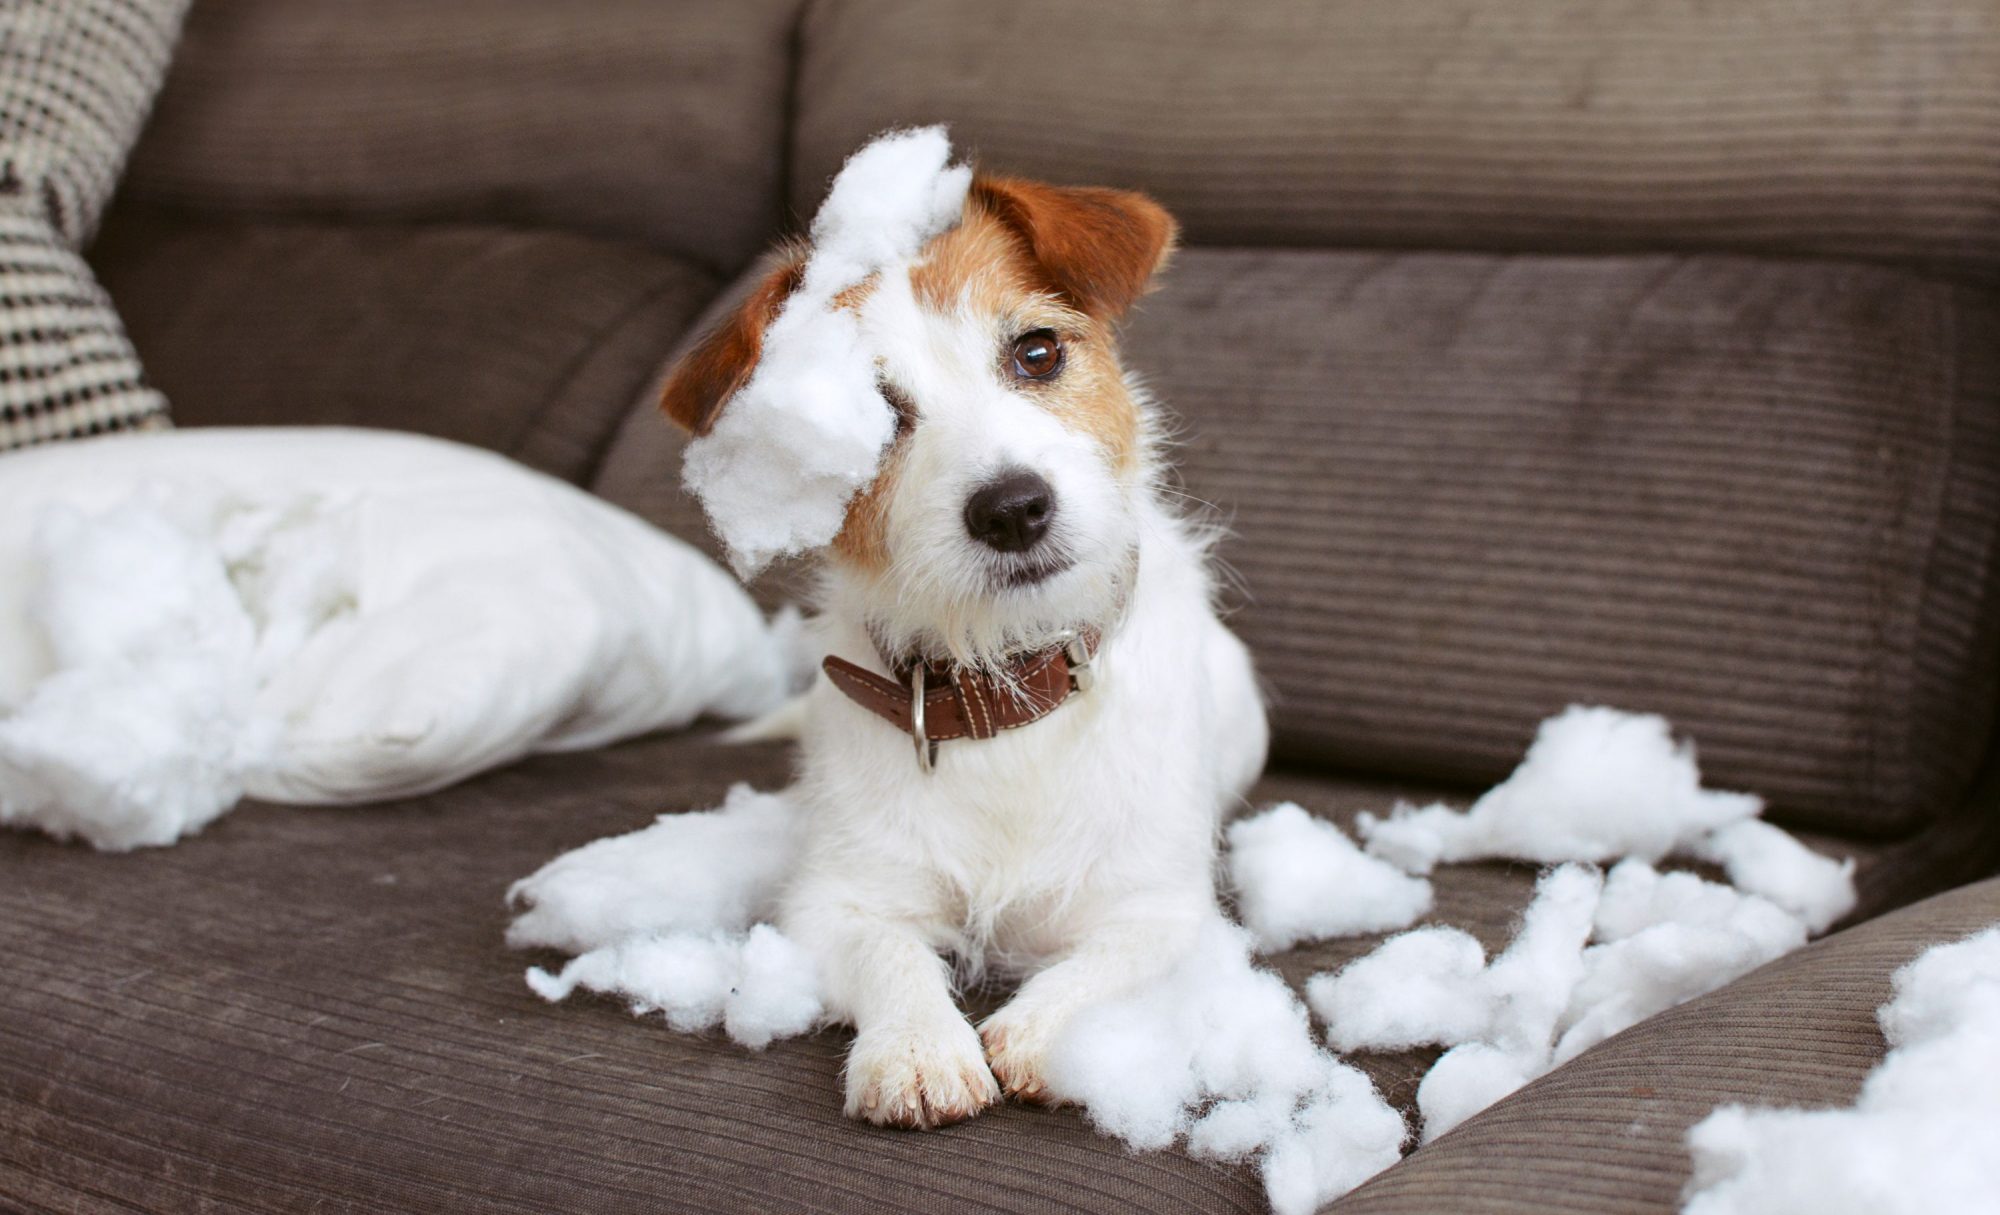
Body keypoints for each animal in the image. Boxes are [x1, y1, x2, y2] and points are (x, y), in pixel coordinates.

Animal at [664, 165, 1272, 1127]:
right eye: (874, 417)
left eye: (1038, 353)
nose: (1014, 508)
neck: (1004, 687)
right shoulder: (840, 900)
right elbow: (888, 955)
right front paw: (917, 1048)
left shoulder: (1160, 909)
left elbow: (1103, 964)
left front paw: (1035, 1031)